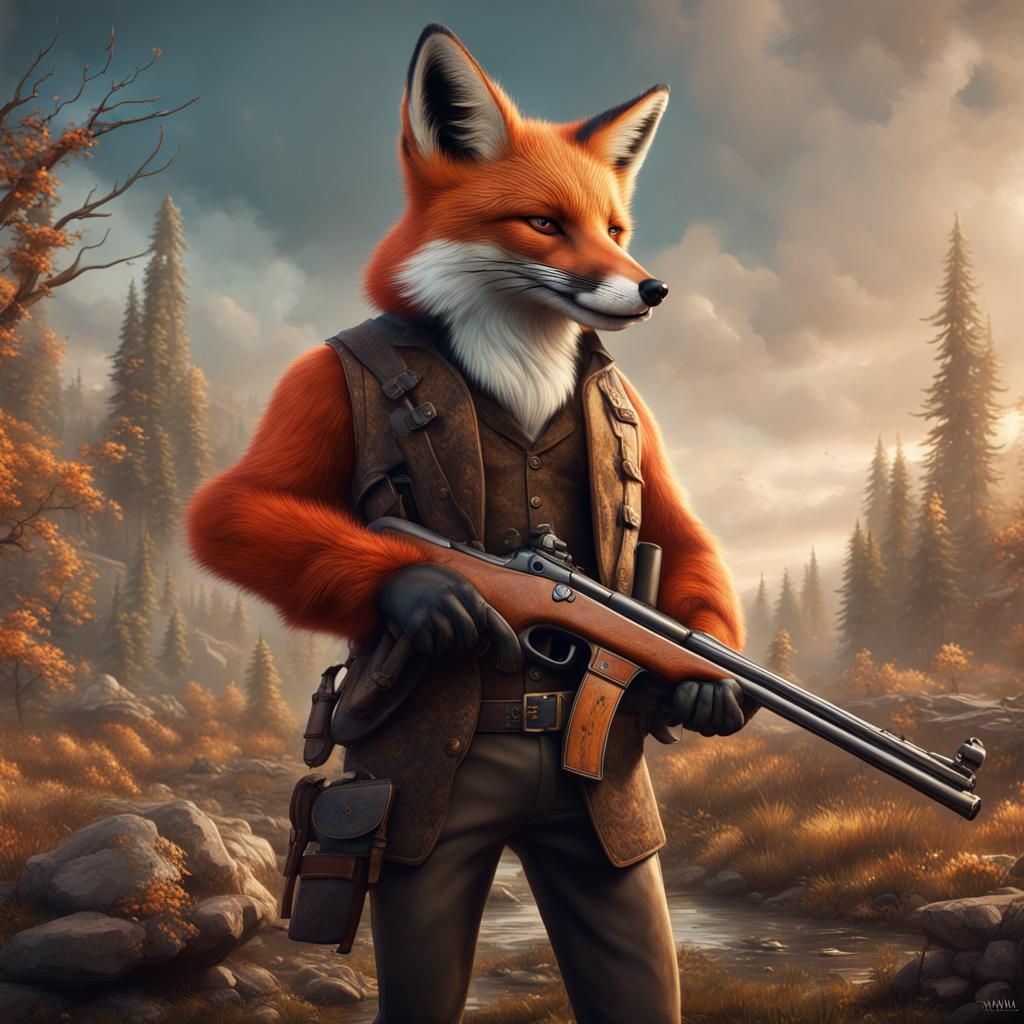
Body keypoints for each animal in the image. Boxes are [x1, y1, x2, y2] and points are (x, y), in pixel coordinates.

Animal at [187, 23, 750, 1024]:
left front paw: (708, 690)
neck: (521, 348)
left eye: (616, 229)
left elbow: (683, 536)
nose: (653, 289)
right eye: (544, 224)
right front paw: (431, 596)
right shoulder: (313, 385)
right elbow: (230, 510)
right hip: (411, 837)